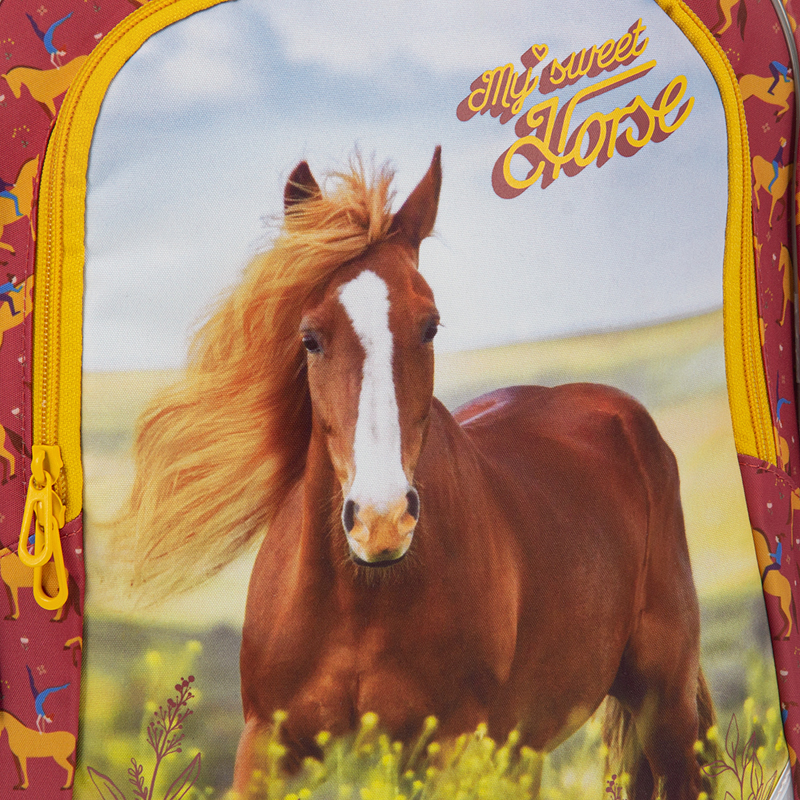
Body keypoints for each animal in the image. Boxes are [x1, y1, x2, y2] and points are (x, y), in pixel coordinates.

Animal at [116, 149, 714, 800]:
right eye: (309, 338)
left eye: (429, 327)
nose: (381, 522)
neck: (360, 603)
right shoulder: (267, 745)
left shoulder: (447, 750)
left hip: (665, 709)